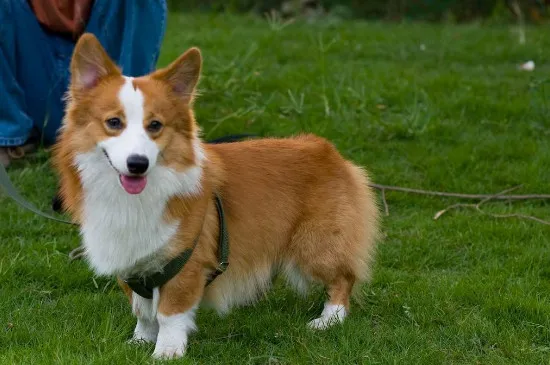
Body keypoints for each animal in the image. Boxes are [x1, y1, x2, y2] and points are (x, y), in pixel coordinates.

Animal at [51, 33, 382, 358]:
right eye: (113, 123)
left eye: (155, 125)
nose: (137, 163)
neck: (133, 199)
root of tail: (327, 152)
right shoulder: (132, 264)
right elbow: (143, 311)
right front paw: (140, 341)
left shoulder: (186, 265)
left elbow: (169, 313)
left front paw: (167, 351)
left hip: (314, 245)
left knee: (343, 278)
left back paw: (329, 319)